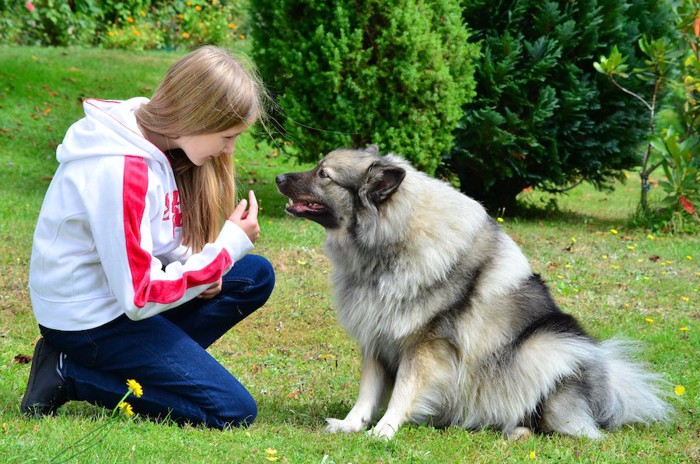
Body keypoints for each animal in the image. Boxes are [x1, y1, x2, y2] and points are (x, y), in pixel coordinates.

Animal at [272, 144, 668, 438]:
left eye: (323, 174)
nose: (278, 177)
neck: (389, 243)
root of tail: (605, 390)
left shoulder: (424, 345)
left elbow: (403, 390)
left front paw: (385, 429)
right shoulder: (376, 336)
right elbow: (367, 392)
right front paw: (352, 425)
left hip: (544, 344)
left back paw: (518, 429)